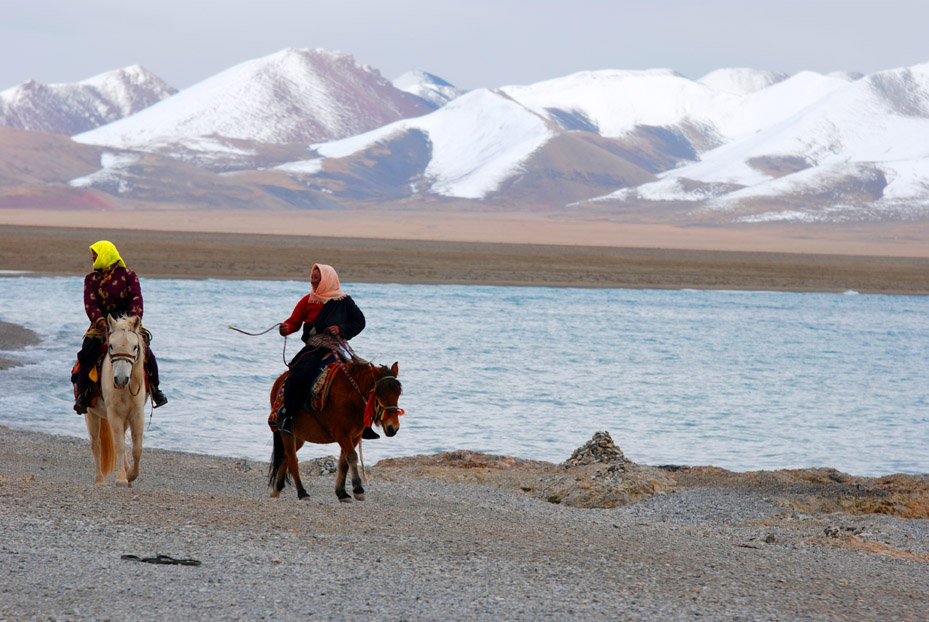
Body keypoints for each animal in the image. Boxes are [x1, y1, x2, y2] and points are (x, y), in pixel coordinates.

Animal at [84, 316, 149, 488]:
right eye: (111, 345)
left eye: (135, 347)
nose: (120, 380)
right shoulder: (114, 414)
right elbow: (119, 446)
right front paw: (121, 478)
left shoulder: (136, 414)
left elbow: (137, 448)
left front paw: (131, 474)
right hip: (92, 414)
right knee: (96, 444)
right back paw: (99, 480)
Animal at [266, 360, 400, 502]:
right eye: (380, 395)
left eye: (398, 394)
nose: (393, 427)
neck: (351, 398)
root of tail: (279, 381)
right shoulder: (342, 434)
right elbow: (352, 456)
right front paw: (358, 489)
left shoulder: (355, 436)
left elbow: (344, 462)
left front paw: (342, 493)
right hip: (286, 433)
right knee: (292, 460)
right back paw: (302, 492)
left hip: (299, 437)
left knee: (285, 456)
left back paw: (277, 489)